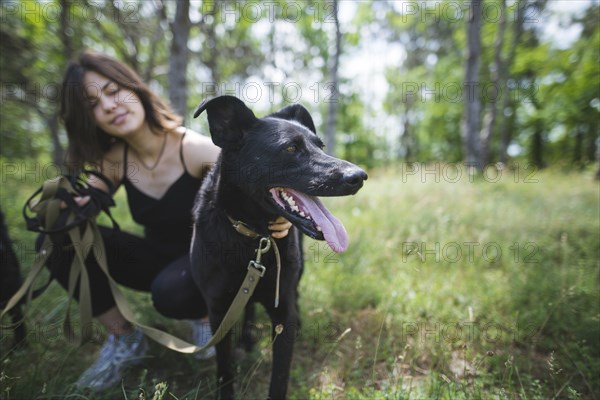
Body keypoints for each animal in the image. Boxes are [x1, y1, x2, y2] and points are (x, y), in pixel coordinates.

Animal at [191, 97, 366, 400]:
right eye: (291, 148)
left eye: (320, 146)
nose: (359, 176)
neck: (253, 238)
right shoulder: (218, 312)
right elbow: (225, 370)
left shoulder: (283, 313)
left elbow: (279, 378)